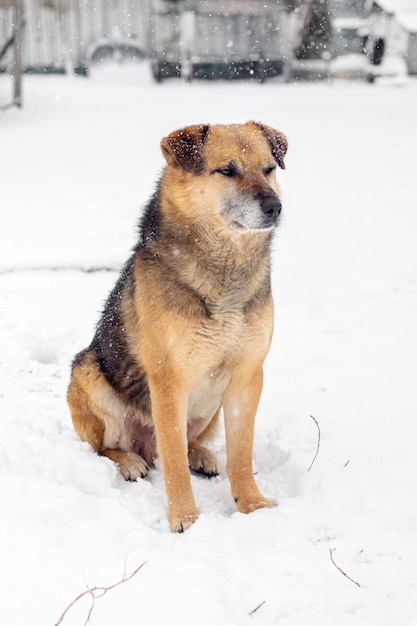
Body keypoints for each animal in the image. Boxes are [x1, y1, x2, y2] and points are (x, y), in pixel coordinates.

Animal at [68, 122, 288, 532]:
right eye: (227, 170)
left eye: (268, 169)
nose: (274, 207)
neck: (224, 271)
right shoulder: (169, 380)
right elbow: (172, 462)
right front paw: (186, 519)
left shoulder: (247, 376)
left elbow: (241, 454)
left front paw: (251, 505)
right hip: (87, 372)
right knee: (110, 448)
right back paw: (131, 461)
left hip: (211, 404)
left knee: (187, 442)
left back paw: (200, 455)